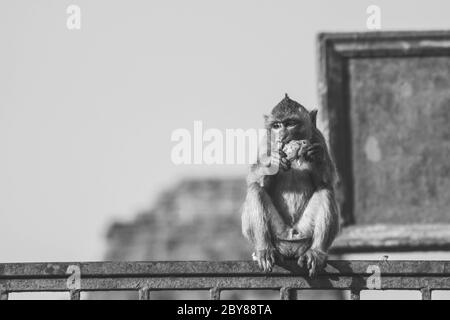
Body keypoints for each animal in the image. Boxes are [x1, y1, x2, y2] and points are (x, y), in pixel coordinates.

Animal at [241, 94, 340, 276]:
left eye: (290, 123)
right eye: (276, 125)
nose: (282, 134)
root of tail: (290, 243)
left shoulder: (319, 138)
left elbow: (327, 181)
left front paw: (317, 156)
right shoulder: (266, 142)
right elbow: (254, 179)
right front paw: (272, 162)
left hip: (304, 233)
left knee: (326, 191)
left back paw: (317, 252)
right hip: (278, 234)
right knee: (255, 189)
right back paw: (264, 249)